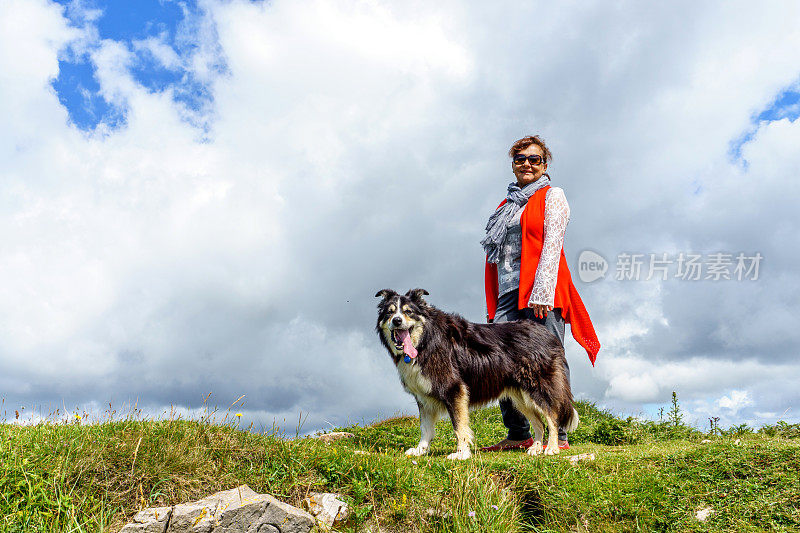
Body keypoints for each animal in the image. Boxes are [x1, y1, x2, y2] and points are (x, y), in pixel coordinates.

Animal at [376, 288, 576, 460]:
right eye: (390, 313)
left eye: (408, 312)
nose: (397, 321)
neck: (426, 340)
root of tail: (547, 333)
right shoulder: (423, 395)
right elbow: (425, 427)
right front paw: (420, 450)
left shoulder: (454, 390)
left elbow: (459, 426)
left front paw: (461, 453)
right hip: (520, 396)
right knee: (539, 422)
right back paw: (536, 447)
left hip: (537, 387)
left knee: (552, 416)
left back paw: (551, 447)